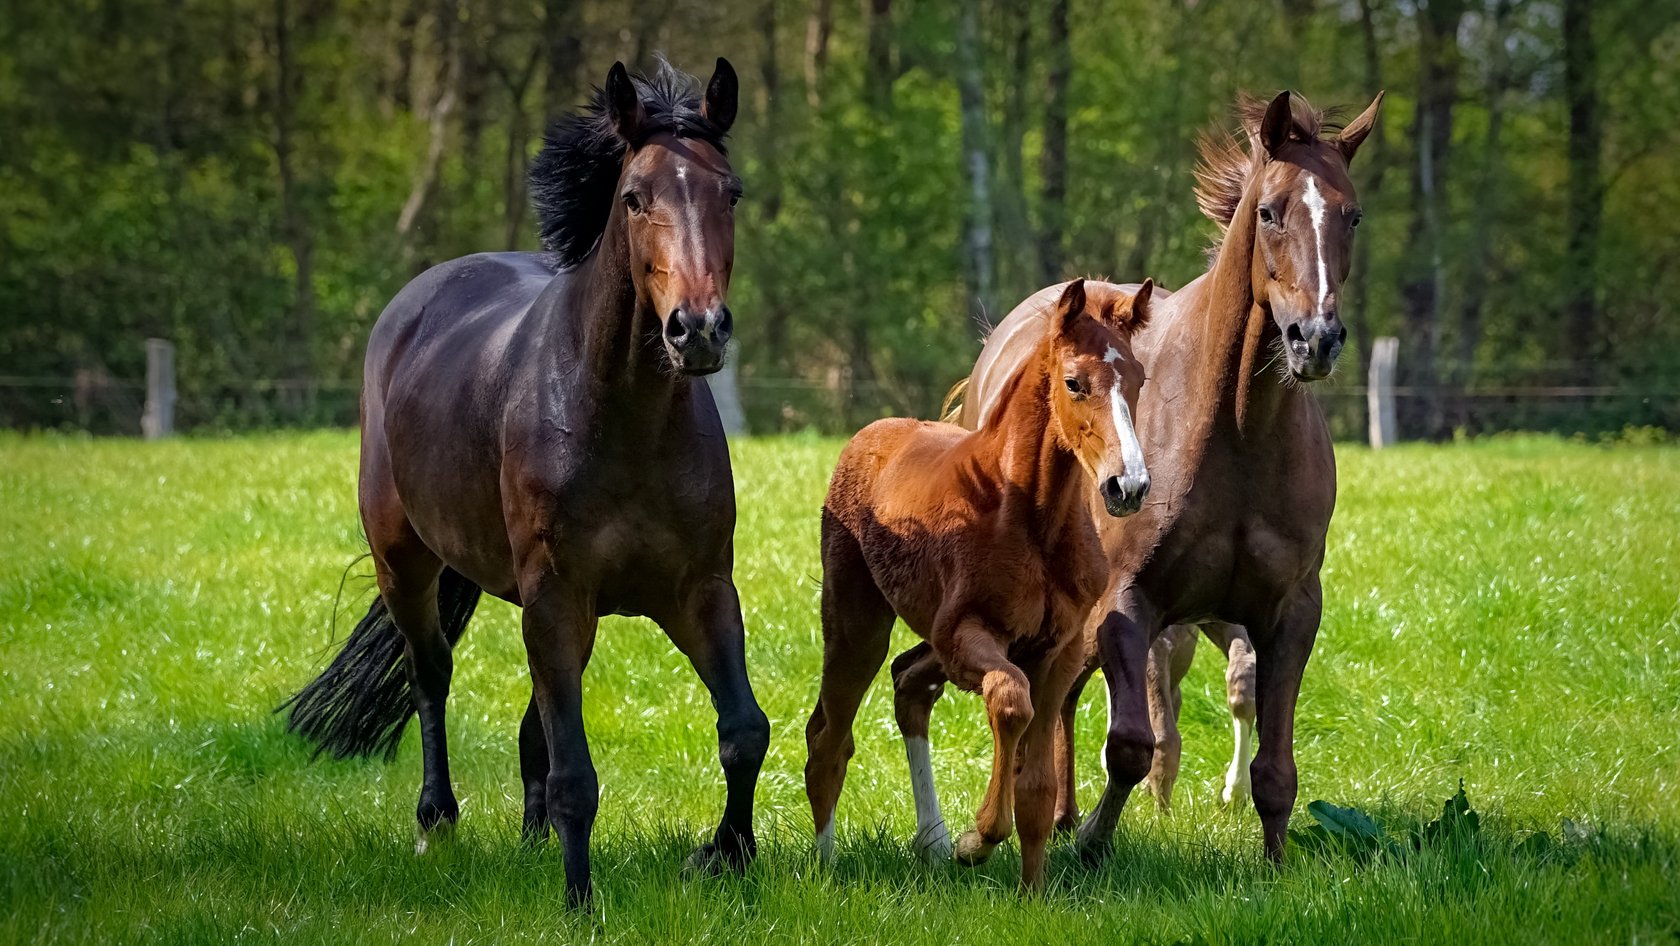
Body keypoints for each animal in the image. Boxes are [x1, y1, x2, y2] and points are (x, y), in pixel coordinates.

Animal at [281, 59, 768, 907]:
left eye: (729, 191)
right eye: (634, 195)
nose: (698, 330)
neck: (623, 420)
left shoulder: (700, 590)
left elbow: (743, 730)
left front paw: (725, 857)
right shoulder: (554, 593)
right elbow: (577, 773)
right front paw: (579, 901)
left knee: (531, 720)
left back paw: (531, 838)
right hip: (407, 562)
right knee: (430, 675)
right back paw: (437, 819)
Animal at [805, 278, 1154, 891]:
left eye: (1137, 379)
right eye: (1074, 382)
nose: (1127, 485)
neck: (1030, 516)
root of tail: (870, 434)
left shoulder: (1059, 651)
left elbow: (1038, 785)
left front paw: (1032, 892)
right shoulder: (964, 635)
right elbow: (1010, 700)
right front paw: (979, 839)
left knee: (906, 688)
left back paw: (931, 843)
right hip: (856, 625)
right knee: (829, 737)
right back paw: (828, 868)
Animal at [947, 90, 1384, 863]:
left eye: (1352, 214)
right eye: (1270, 211)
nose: (1316, 340)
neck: (1236, 434)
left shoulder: (1290, 611)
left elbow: (1276, 766)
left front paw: (1275, 861)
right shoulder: (1128, 604)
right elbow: (1130, 744)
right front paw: (1093, 844)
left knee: (1063, 697)